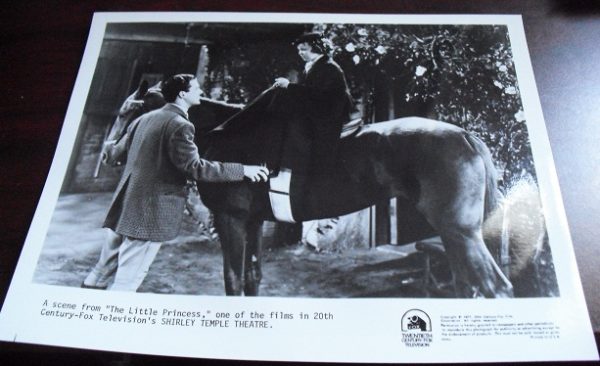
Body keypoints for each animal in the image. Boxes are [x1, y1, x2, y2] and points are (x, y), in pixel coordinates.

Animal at [104, 81, 520, 298]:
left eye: (128, 111)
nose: (108, 153)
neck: (230, 134)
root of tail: (466, 136)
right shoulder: (253, 222)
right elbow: (252, 278)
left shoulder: (231, 220)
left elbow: (234, 280)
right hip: (455, 236)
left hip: (459, 233)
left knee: (495, 288)